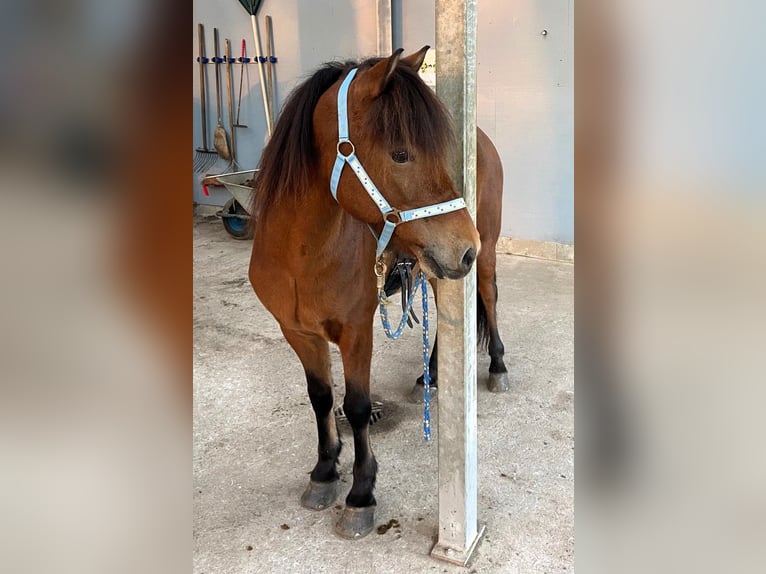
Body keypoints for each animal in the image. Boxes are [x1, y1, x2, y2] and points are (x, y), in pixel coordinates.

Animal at [249, 46, 508, 540]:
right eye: (401, 153)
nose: (464, 246)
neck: (301, 254)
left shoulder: (356, 331)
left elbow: (356, 404)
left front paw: (360, 495)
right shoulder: (297, 332)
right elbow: (321, 398)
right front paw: (324, 472)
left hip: (480, 256)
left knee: (488, 296)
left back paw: (499, 365)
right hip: (435, 267)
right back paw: (430, 373)